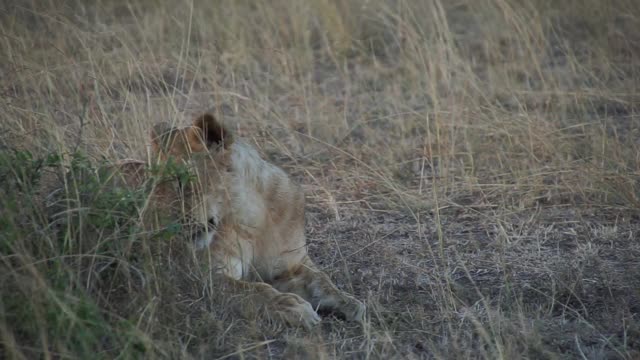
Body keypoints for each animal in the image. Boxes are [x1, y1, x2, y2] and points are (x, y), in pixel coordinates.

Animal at [125, 113, 364, 330]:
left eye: (180, 180)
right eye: (153, 182)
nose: (158, 222)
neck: (252, 215)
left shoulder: (291, 266)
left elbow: (322, 280)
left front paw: (350, 302)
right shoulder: (203, 279)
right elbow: (256, 290)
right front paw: (292, 307)